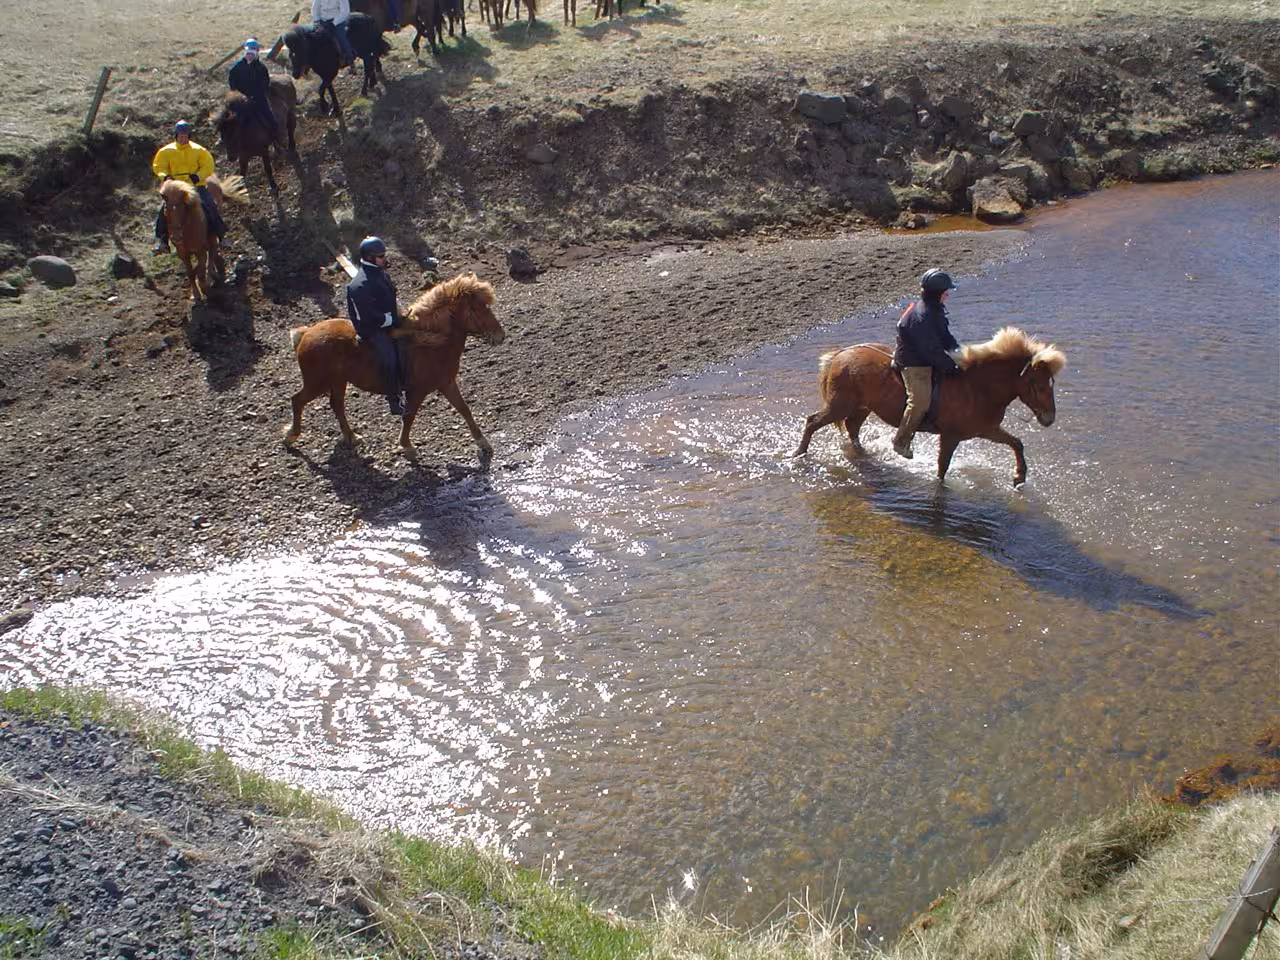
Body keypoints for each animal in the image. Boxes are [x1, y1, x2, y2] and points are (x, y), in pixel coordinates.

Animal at [158, 174, 248, 303]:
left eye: (183, 210)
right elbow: (190, 272)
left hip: (213, 234)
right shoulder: (183, 254)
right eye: (166, 212)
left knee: (212, 249)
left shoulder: (199, 251)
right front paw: (195, 294)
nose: (176, 238)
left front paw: (204, 286)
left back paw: (211, 273)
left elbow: (200, 270)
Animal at [284, 273, 506, 458]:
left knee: (336, 404)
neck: (431, 341)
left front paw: (483, 442)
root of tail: (306, 333)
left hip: (338, 381)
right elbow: (409, 416)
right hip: (317, 383)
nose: (500, 336)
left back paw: (352, 437)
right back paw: (291, 437)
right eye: (477, 309)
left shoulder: (447, 383)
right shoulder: (417, 391)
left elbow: (464, 409)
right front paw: (407, 446)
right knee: (298, 400)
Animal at [792, 327, 1067, 486]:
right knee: (813, 421)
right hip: (840, 406)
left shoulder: (986, 430)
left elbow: (1016, 443)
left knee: (852, 428)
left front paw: (1019, 477)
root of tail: (841, 354)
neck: (977, 387)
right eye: (1040, 385)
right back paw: (798, 454)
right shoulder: (951, 436)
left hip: (861, 407)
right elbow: (942, 468)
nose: (1049, 418)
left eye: (1051, 383)